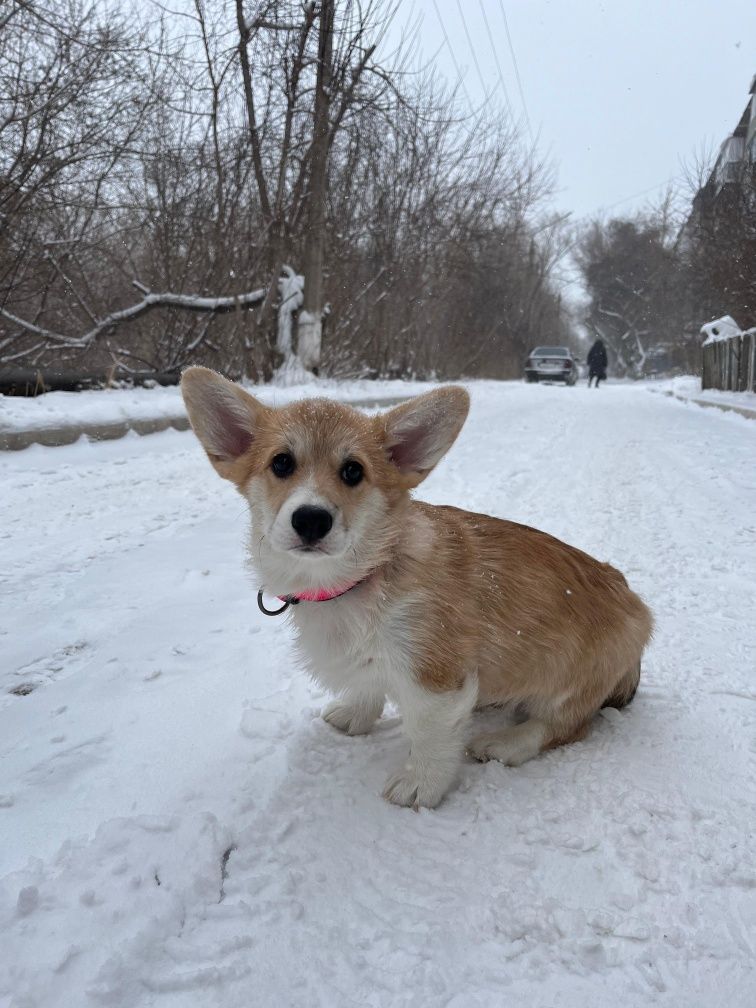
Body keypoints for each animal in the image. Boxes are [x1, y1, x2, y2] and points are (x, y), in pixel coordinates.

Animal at [182, 366, 653, 806]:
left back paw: (506, 742)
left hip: (574, 680)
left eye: (353, 471)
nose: (312, 519)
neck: (362, 576)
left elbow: (430, 736)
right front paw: (355, 716)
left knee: (567, 725)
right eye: (281, 463)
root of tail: (638, 608)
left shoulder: (434, 675)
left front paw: (420, 786)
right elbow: (367, 685)